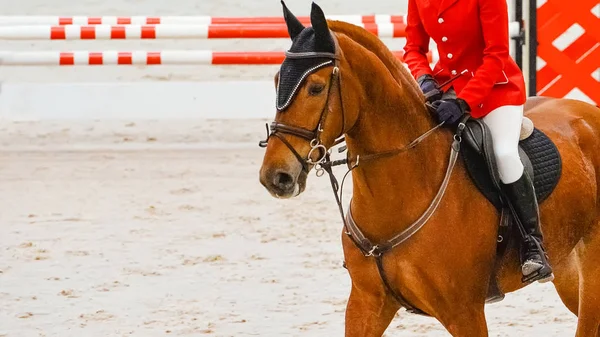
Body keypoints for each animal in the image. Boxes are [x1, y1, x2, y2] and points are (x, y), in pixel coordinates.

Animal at [256, 1, 600, 334]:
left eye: (315, 88)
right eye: (276, 81)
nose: (275, 176)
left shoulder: (464, 312)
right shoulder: (366, 304)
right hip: (568, 272)